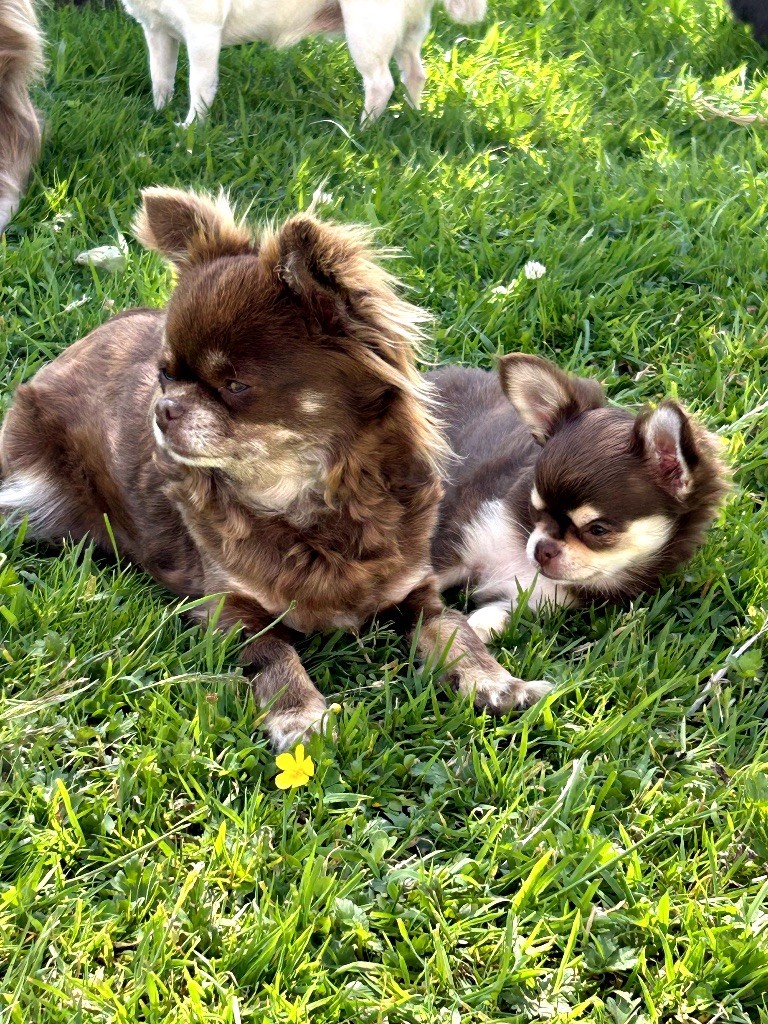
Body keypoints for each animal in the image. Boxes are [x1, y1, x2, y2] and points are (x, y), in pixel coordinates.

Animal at [0, 187, 549, 750]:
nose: (164, 408)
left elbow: (455, 629)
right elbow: (276, 658)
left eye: (235, 385)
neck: (304, 505)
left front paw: (495, 682)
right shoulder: (232, 612)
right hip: (28, 494)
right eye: (165, 375)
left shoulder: (416, 593)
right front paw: (302, 717)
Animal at [118, 0, 487, 126]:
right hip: (407, 33)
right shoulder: (157, 31)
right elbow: (161, 78)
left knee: (381, 83)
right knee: (414, 73)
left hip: (366, 30)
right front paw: (159, 113)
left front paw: (193, 127)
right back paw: (411, 113)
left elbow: (200, 85)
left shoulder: (202, 31)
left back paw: (362, 129)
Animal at [429, 356, 730, 641]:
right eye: (534, 509)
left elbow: (481, 622)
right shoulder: (455, 543)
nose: (542, 549)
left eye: (597, 530)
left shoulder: (533, 600)